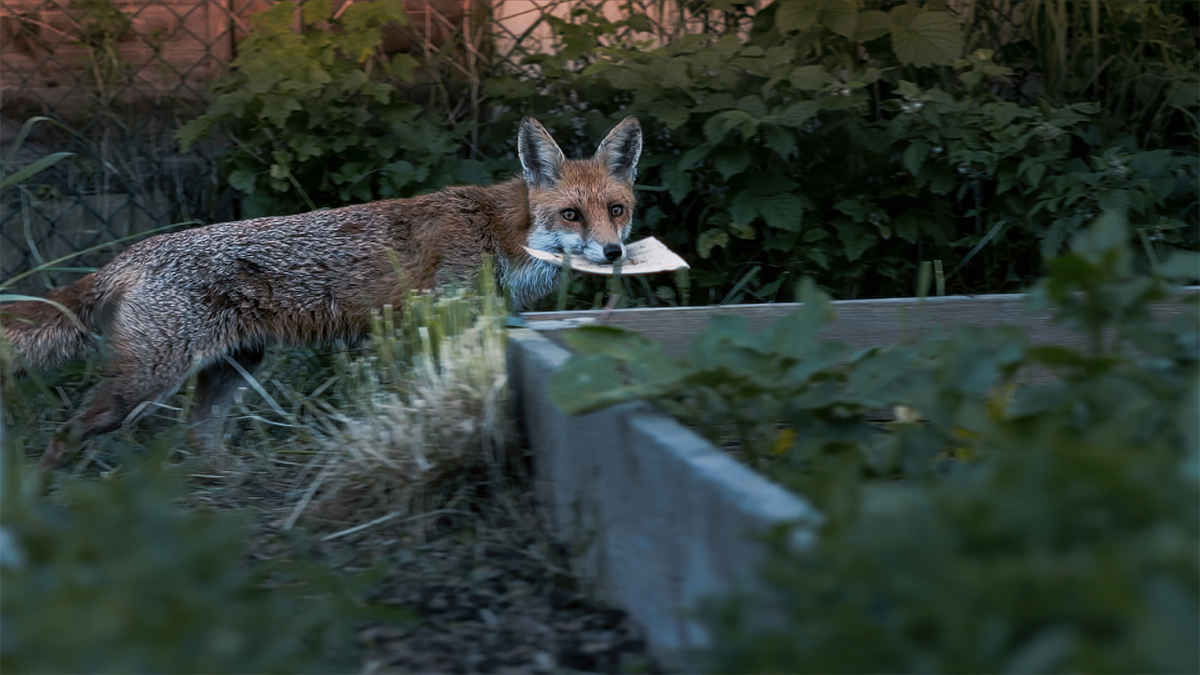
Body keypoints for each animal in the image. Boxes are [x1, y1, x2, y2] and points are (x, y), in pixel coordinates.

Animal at [0, 115, 643, 469]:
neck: (499, 233)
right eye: (570, 214)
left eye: (616, 211)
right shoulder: (420, 323)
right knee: (65, 436)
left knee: (200, 440)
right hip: (147, 382)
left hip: (234, 367)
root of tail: (136, 252)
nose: (613, 253)